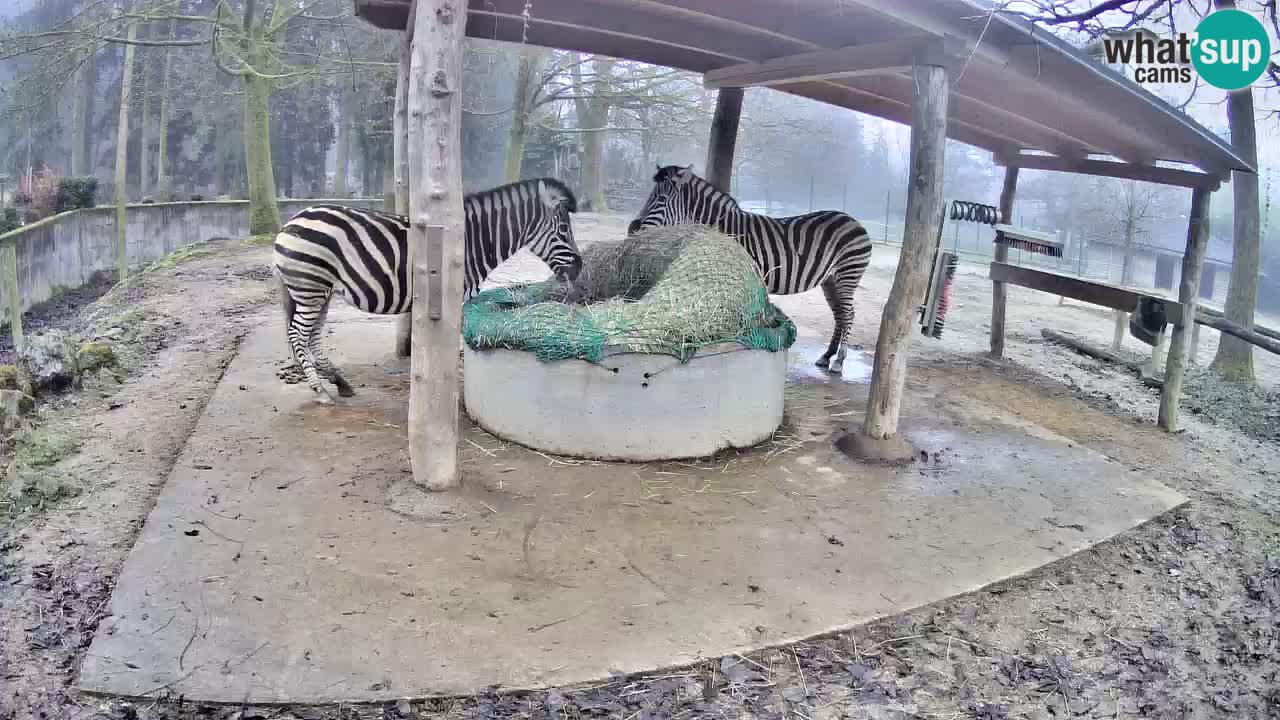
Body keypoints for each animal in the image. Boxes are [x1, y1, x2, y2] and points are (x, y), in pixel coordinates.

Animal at [273, 177, 583, 405]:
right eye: (564, 230)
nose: (579, 269)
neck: (472, 241)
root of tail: (293, 220)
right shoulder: (455, 297)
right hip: (310, 287)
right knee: (298, 334)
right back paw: (320, 391)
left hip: (320, 290)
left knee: (313, 336)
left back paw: (340, 382)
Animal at [628, 165, 872, 374]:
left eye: (660, 199)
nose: (632, 229)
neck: (723, 229)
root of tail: (853, 220)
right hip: (829, 280)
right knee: (839, 315)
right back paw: (827, 356)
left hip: (847, 275)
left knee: (848, 314)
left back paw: (839, 361)